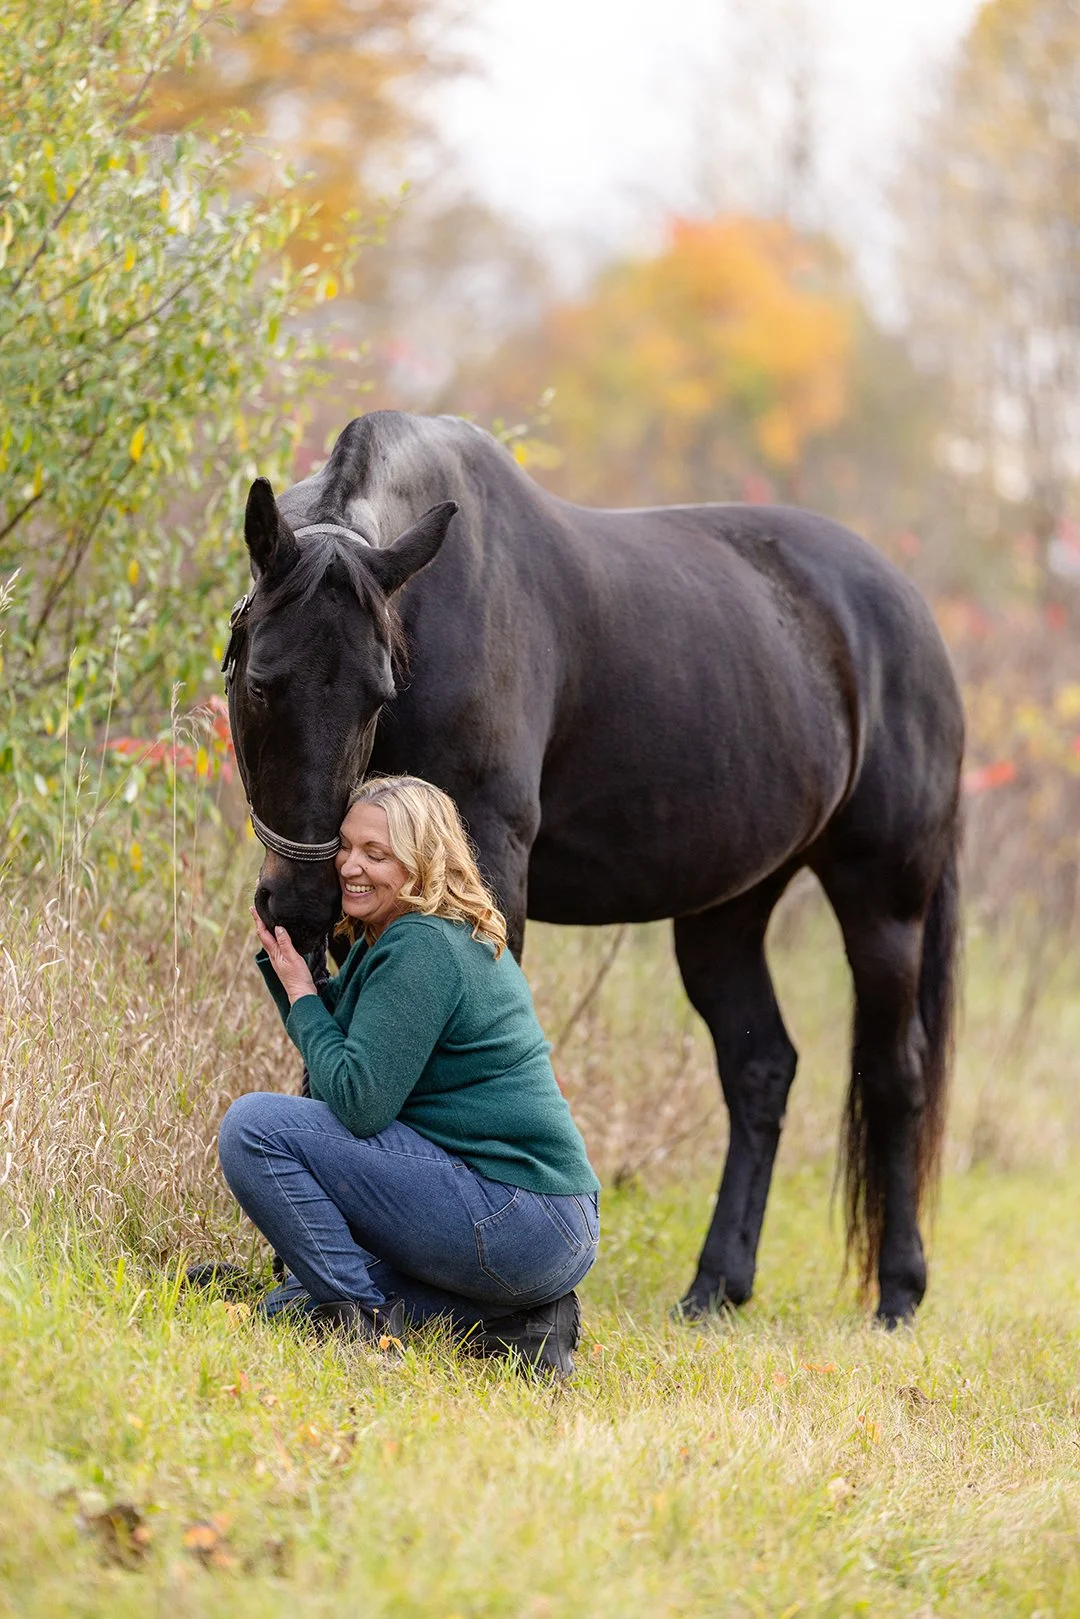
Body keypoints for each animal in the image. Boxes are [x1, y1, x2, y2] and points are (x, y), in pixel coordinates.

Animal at [222, 409, 964, 1326]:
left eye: (377, 693)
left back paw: (898, 1291)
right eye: (262, 683)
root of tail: (911, 614)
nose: (304, 901)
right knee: (761, 1069)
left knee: (896, 1077)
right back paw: (715, 1286)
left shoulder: (489, 865)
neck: (443, 609)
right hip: (726, 913)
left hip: (884, 903)